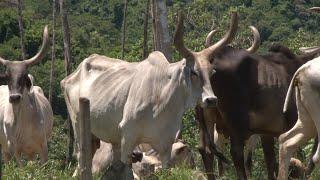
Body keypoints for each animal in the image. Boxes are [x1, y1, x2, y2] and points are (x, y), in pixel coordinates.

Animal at [0, 25, 53, 165]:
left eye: (24, 76)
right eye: (7, 76)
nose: (14, 97)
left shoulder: (43, 147)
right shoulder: (15, 149)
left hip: (31, 152)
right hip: (6, 150)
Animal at [61, 12, 239, 177]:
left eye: (212, 72)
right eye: (193, 72)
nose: (211, 100)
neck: (164, 99)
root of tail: (70, 75)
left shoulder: (166, 145)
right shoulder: (128, 136)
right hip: (79, 127)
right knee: (83, 157)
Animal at [198, 40, 320, 179]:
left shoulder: (267, 132)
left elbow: (270, 160)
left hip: (206, 119)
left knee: (205, 150)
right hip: (236, 122)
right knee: (236, 152)